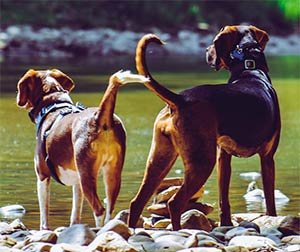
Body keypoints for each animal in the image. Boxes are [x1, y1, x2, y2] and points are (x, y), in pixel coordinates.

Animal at [16, 68, 148, 228]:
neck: (53, 104)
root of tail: (100, 117)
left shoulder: (42, 175)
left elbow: (44, 215)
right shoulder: (77, 182)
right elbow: (75, 213)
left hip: (87, 176)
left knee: (99, 210)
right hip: (112, 174)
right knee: (109, 209)